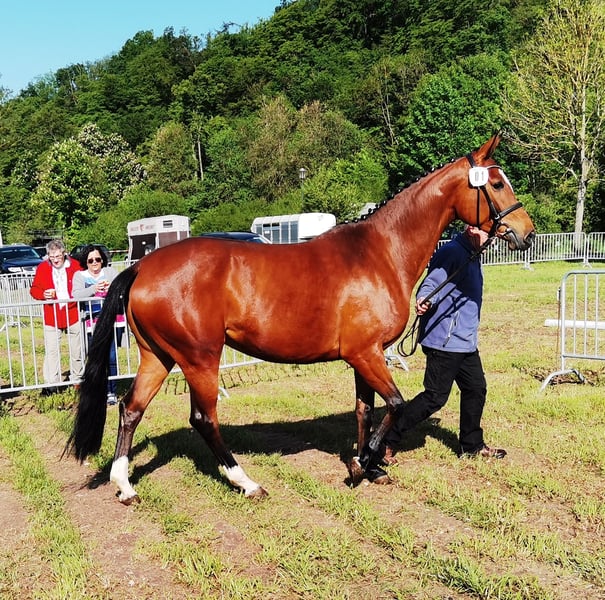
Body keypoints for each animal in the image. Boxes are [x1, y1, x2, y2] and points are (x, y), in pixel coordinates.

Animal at [66, 134, 535, 504]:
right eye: (496, 182)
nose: (526, 233)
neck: (379, 252)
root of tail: (142, 267)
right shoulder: (367, 355)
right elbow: (396, 405)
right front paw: (363, 464)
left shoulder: (365, 356)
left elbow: (366, 409)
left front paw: (369, 465)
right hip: (200, 359)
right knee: (203, 419)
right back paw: (246, 482)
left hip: (157, 357)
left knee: (131, 409)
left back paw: (125, 485)